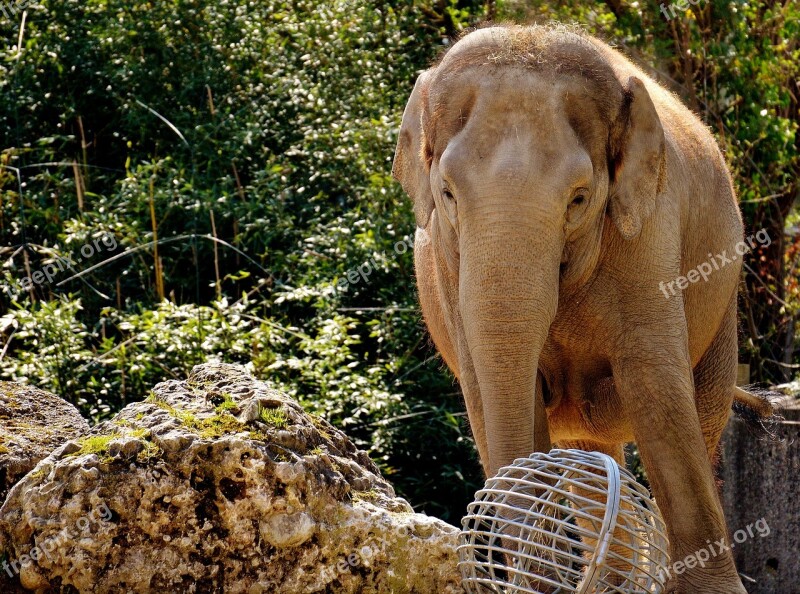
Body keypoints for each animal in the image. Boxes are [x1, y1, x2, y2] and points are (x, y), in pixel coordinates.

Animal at [390, 24, 772, 592]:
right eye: (447, 193)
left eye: (579, 198)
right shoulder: (448, 261)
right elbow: (492, 394)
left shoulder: (649, 234)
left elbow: (656, 388)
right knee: (590, 462)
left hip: (723, 295)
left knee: (702, 418)